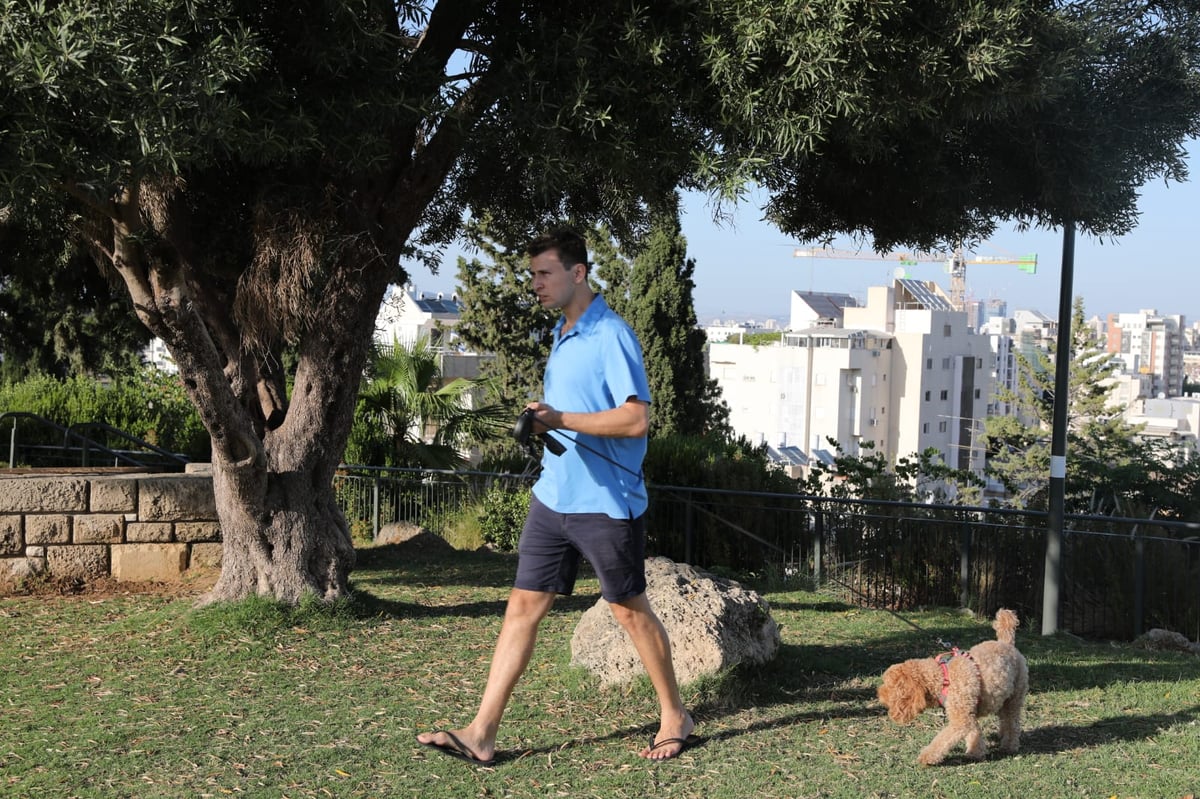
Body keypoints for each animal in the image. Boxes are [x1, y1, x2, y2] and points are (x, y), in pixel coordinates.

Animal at [878, 607, 1027, 763]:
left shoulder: (961, 717)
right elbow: (974, 731)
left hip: (1015, 696)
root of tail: (1007, 643)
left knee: (1012, 722)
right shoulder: (968, 711)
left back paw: (1009, 746)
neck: (943, 677)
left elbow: (943, 740)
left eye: (889, 686)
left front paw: (927, 756)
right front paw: (976, 752)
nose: (879, 696)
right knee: (1004, 719)